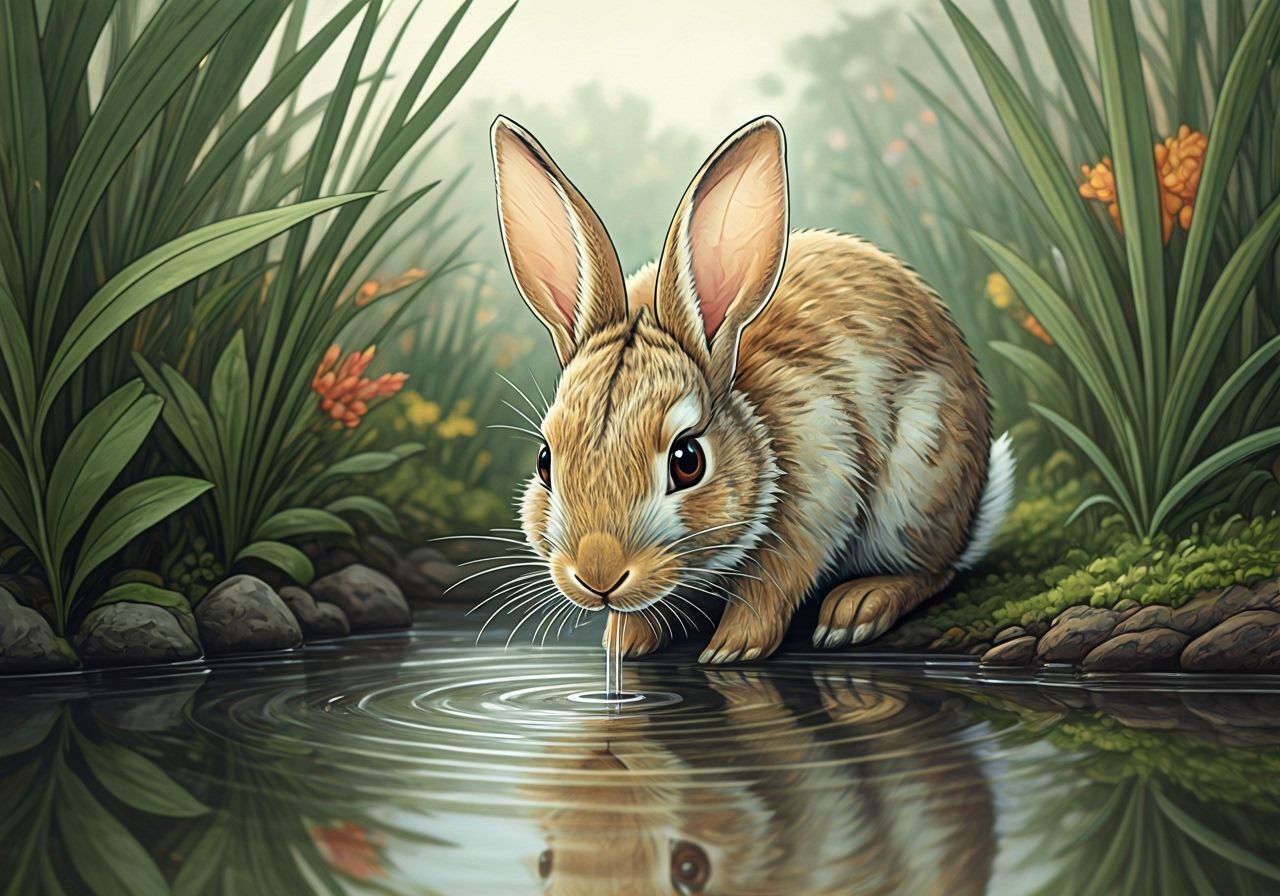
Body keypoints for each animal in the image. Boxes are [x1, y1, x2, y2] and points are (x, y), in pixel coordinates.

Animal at [490, 113, 1014, 664]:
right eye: (544, 462)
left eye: (688, 461)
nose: (599, 576)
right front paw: (624, 642)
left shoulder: (820, 488)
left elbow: (772, 583)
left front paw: (731, 649)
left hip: (920, 483)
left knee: (936, 570)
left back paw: (857, 608)